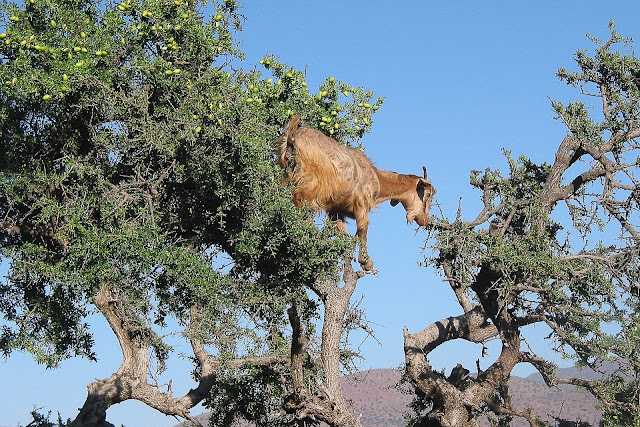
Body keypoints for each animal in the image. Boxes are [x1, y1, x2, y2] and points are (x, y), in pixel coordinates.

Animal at [276, 113, 436, 270]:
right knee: (298, 197)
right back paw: (308, 227)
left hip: (287, 177)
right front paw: (366, 261)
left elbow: (342, 230)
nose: (424, 220)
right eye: (427, 195)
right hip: (314, 184)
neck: (377, 177)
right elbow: (362, 230)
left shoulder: (336, 209)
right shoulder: (361, 203)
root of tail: (293, 136)